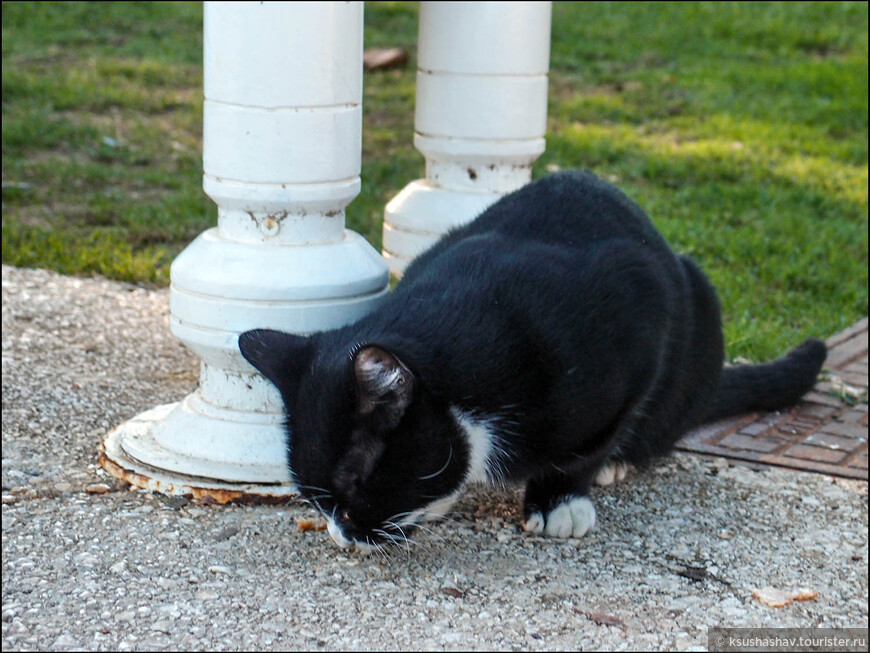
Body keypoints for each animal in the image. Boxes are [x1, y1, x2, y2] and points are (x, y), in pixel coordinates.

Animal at [242, 168, 828, 552]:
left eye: (352, 490)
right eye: (315, 500)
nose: (341, 533)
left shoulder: (636, 323)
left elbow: (590, 443)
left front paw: (560, 499)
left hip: (697, 299)